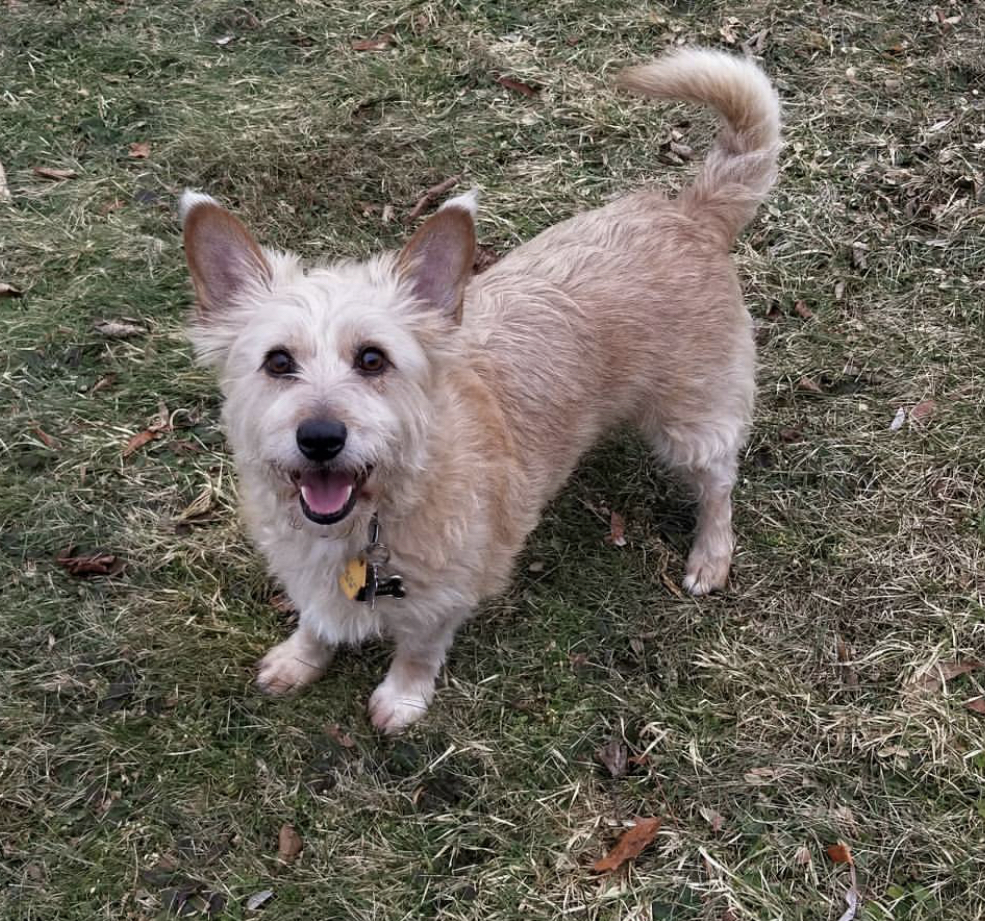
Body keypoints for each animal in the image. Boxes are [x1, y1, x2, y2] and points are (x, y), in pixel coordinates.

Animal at [177, 48, 776, 732]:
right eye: (277, 362)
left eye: (373, 359)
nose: (321, 438)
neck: (376, 515)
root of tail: (689, 210)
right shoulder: (309, 569)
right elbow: (316, 618)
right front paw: (301, 657)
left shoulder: (447, 592)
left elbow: (418, 645)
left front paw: (403, 697)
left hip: (691, 420)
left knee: (719, 485)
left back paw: (710, 555)